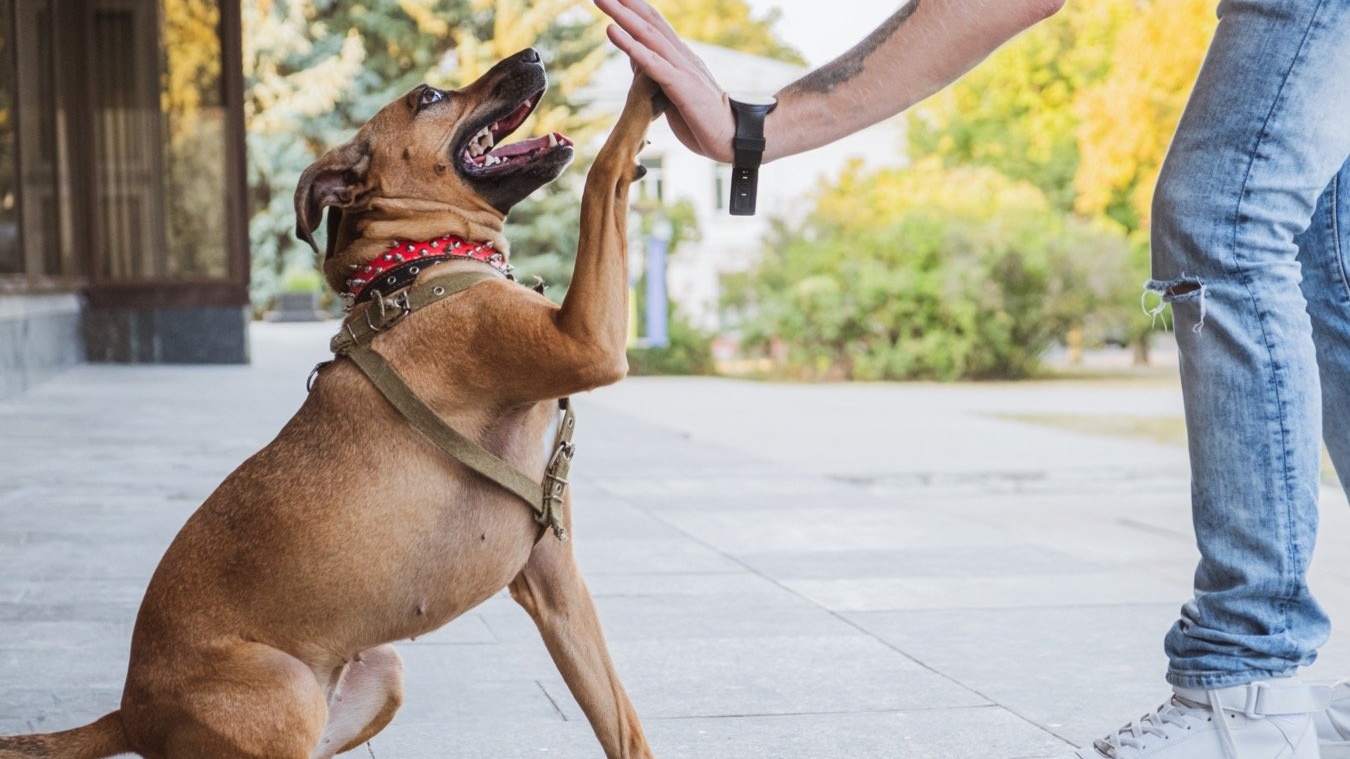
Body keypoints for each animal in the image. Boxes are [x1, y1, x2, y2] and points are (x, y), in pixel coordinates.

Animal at [1, 50, 664, 756]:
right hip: (288, 692)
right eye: (429, 97)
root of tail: (130, 712)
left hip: (379, 673)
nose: (533, 55)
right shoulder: (587, 342)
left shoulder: (555, 582)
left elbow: (621, 723)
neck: (418, 267)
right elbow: (602, 173)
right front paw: (646, 87)